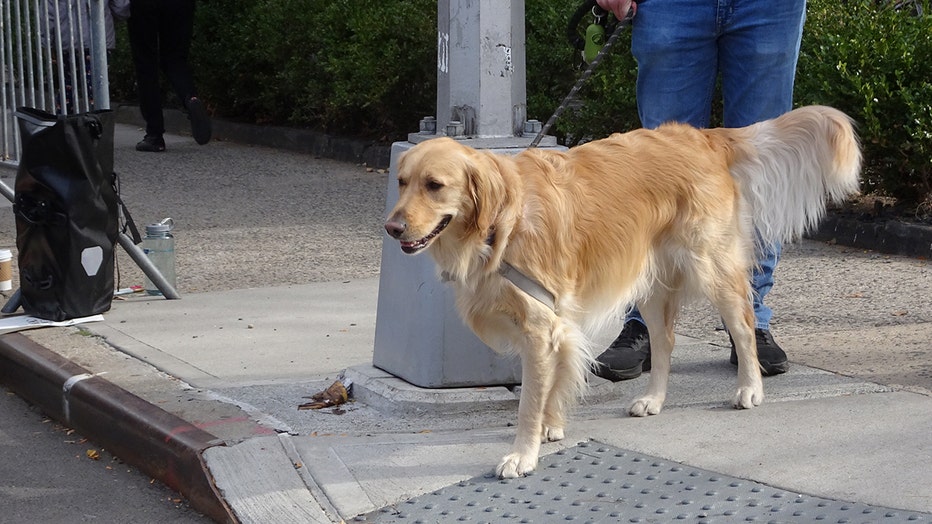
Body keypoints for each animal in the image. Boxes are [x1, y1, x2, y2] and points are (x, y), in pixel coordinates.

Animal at [380, 106, 860, 478]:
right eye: (401, 182)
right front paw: (553, 425)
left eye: (435, 185)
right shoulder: (556, 321)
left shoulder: (539, 326)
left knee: (742, 325)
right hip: (647, 282)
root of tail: (700, 136)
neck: (500, 224)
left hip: (711, 266)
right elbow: (558, 376)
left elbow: (529, 401)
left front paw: (523, 453)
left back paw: (750, 388)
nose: (392, 228)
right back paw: (654, 399)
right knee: (664, 342)